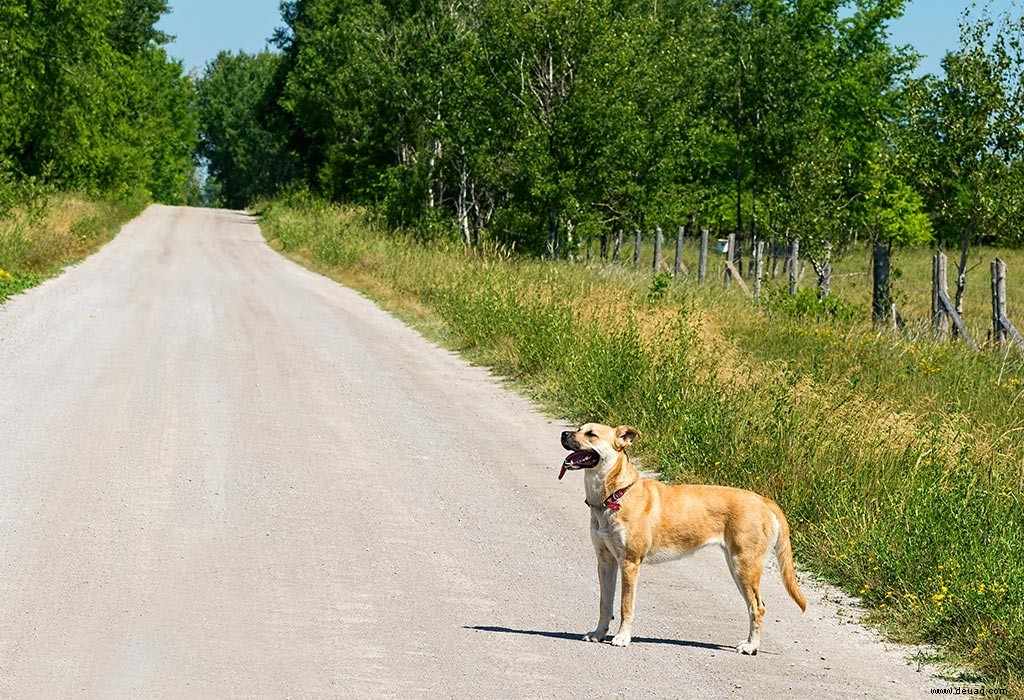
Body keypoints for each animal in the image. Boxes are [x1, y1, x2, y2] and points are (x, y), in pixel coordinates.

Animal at [557, 421, 802, 654]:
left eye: (591, 434)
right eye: (579, 428)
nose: (564, 434)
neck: (615, 494)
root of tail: (764, 500)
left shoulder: (629, 563)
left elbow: (625, 606)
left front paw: (622, 638)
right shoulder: (606, 561)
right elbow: (605, 604)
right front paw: (599, 633)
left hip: (745, 566)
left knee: (757, 607)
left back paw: (750, 646)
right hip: (737, 566)